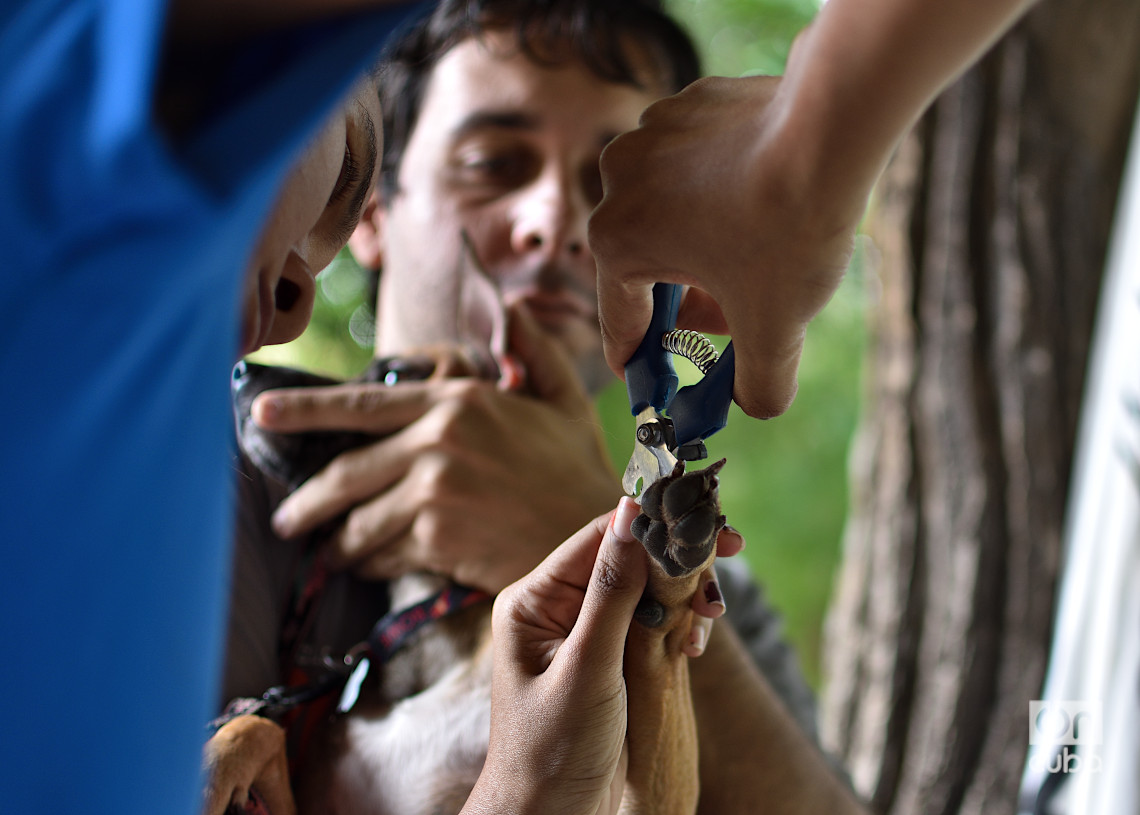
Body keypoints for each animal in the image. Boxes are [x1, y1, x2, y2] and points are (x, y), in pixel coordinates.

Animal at [208, 362, 725, 815]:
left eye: (394, 375)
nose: (242, 370)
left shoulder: (647, 798)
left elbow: (660, 654)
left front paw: (668, 550)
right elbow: (254, 727)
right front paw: (211, 769)